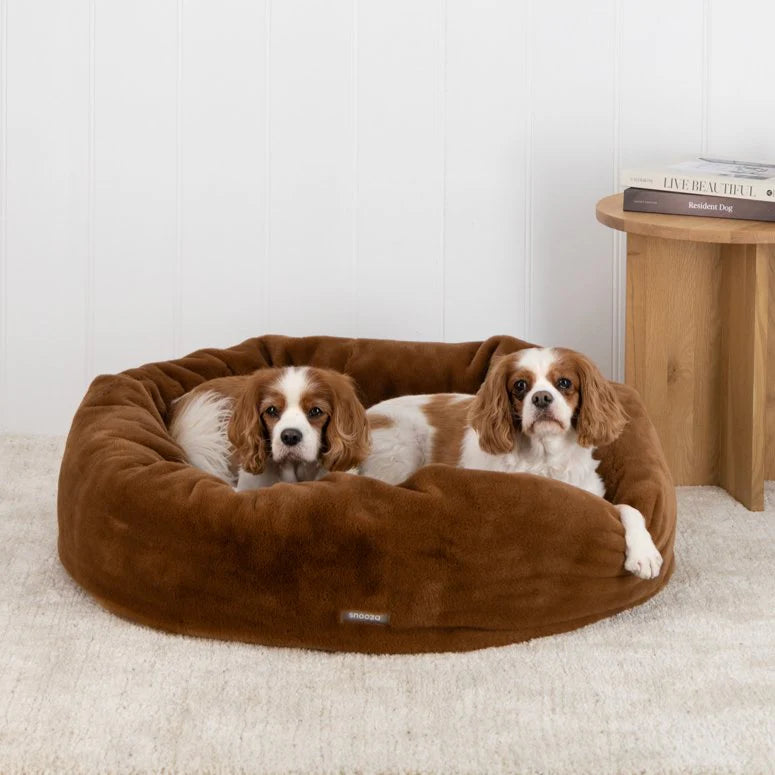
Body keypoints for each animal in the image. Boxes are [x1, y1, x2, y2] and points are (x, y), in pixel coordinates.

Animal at [360, 348, 664, 580]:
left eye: (564, 383)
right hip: (401, 450)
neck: (545, 457)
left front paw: (644, 553)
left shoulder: (592, 495)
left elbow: (630, 509)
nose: (541, 398)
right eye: (520, 386)